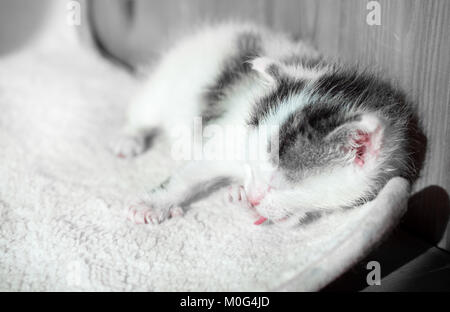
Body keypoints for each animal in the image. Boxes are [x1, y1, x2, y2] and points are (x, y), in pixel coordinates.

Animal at [112, 22, 414, 227]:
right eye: (251, 163)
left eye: (281, 186)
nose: (254, 196)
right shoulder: (227, 138)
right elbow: (189, 176)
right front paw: (151, 203)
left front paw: (239, 195)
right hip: (162, 87)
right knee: (141, 114)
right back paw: (128, 140)